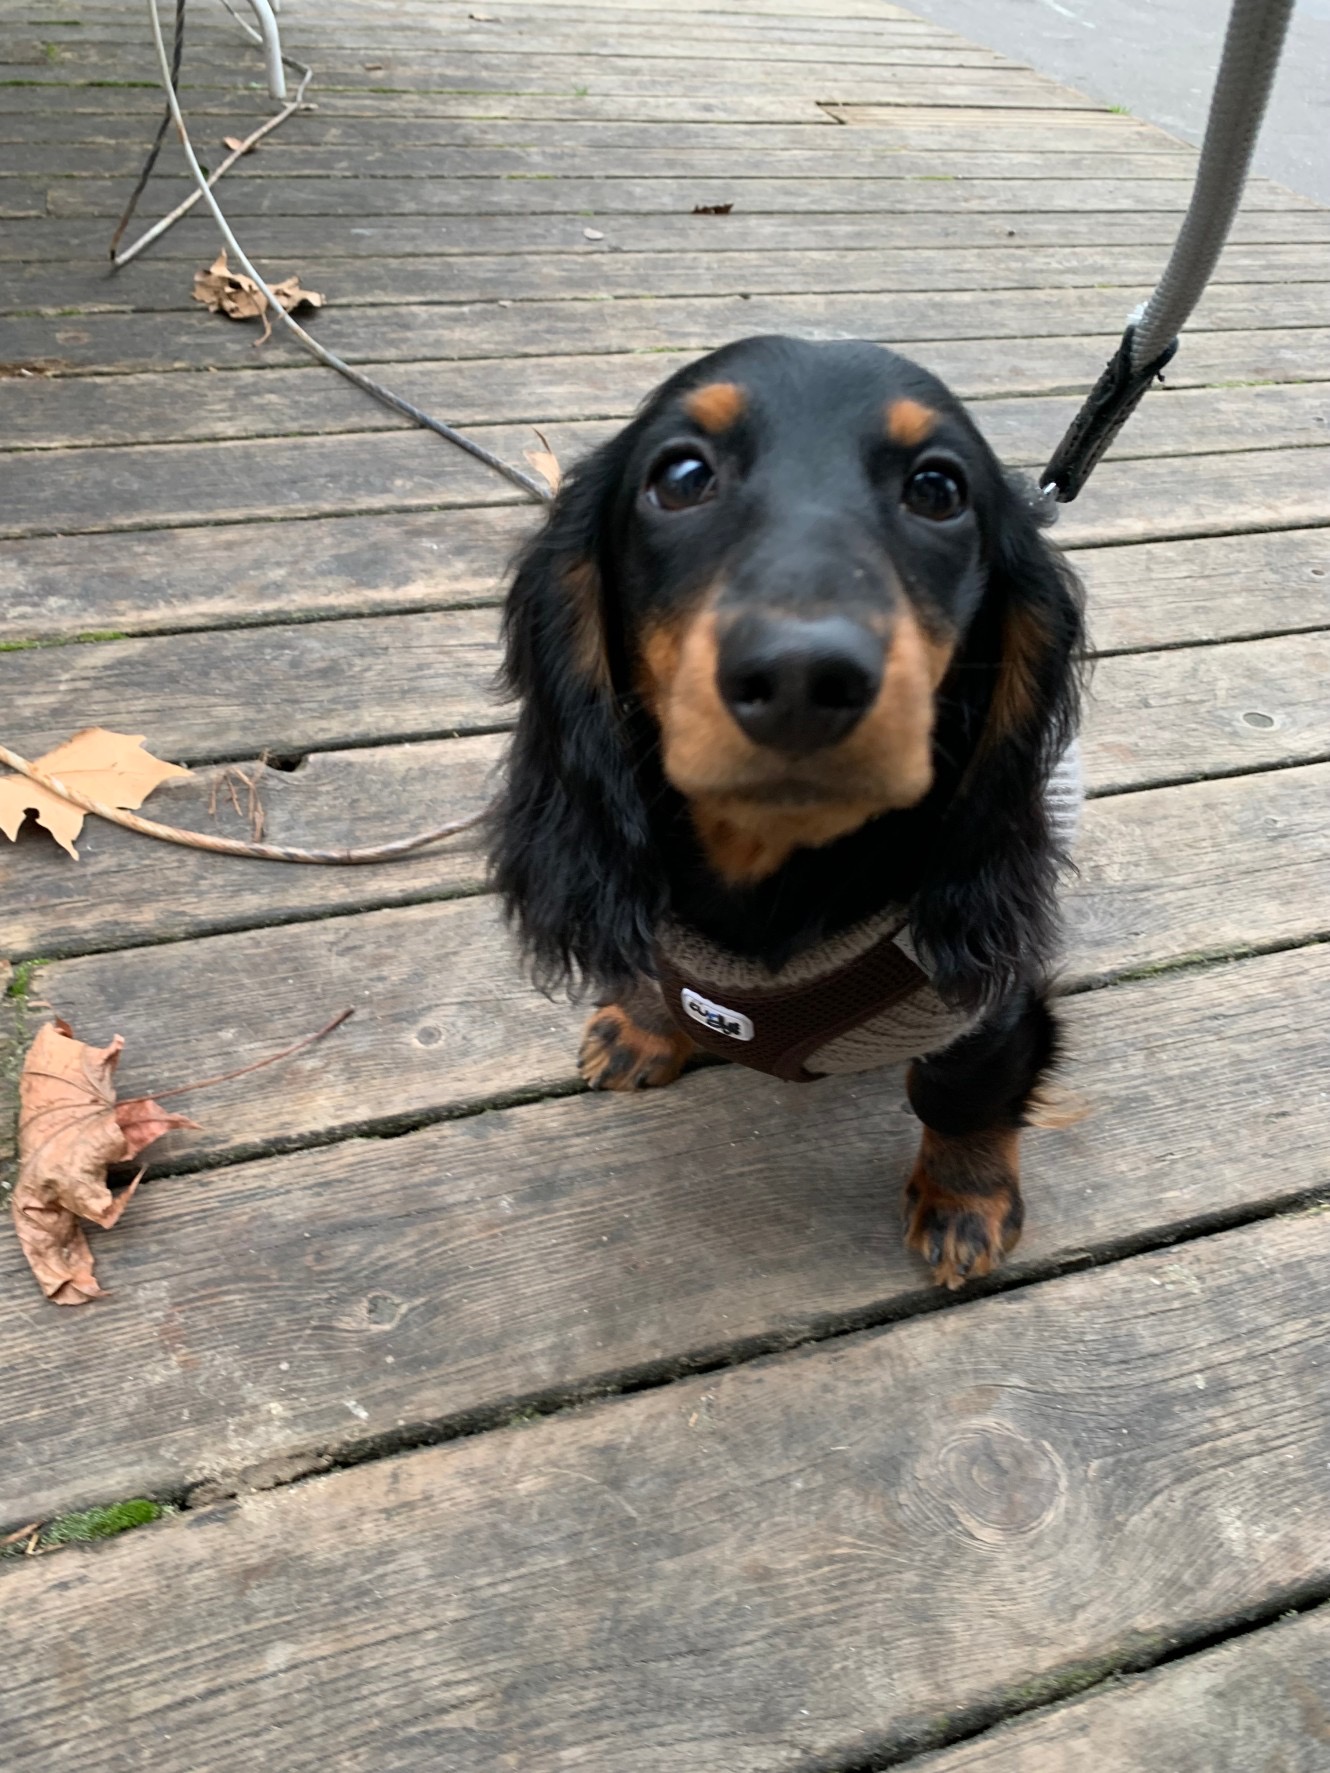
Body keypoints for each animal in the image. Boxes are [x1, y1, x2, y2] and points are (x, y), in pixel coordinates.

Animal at [489, 335, 1085, 1290]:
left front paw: (965, 1202)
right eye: (682, 475)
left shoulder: (985, 1004)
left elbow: (961, 1092)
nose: (805, 677)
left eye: (938, 490)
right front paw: (643, 1024)